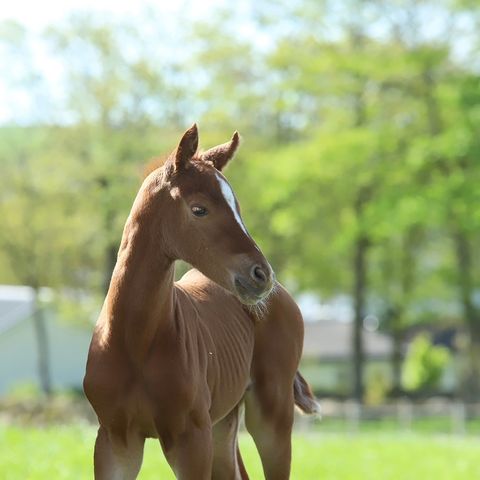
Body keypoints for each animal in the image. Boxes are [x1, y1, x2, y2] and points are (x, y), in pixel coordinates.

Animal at [84, 125, 316, 478]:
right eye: (199, 209)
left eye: (238, 208)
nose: (262, 275)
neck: (135, 340)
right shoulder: (115, 440)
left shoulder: (192, 439)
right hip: (223, 424)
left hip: (271, 417)